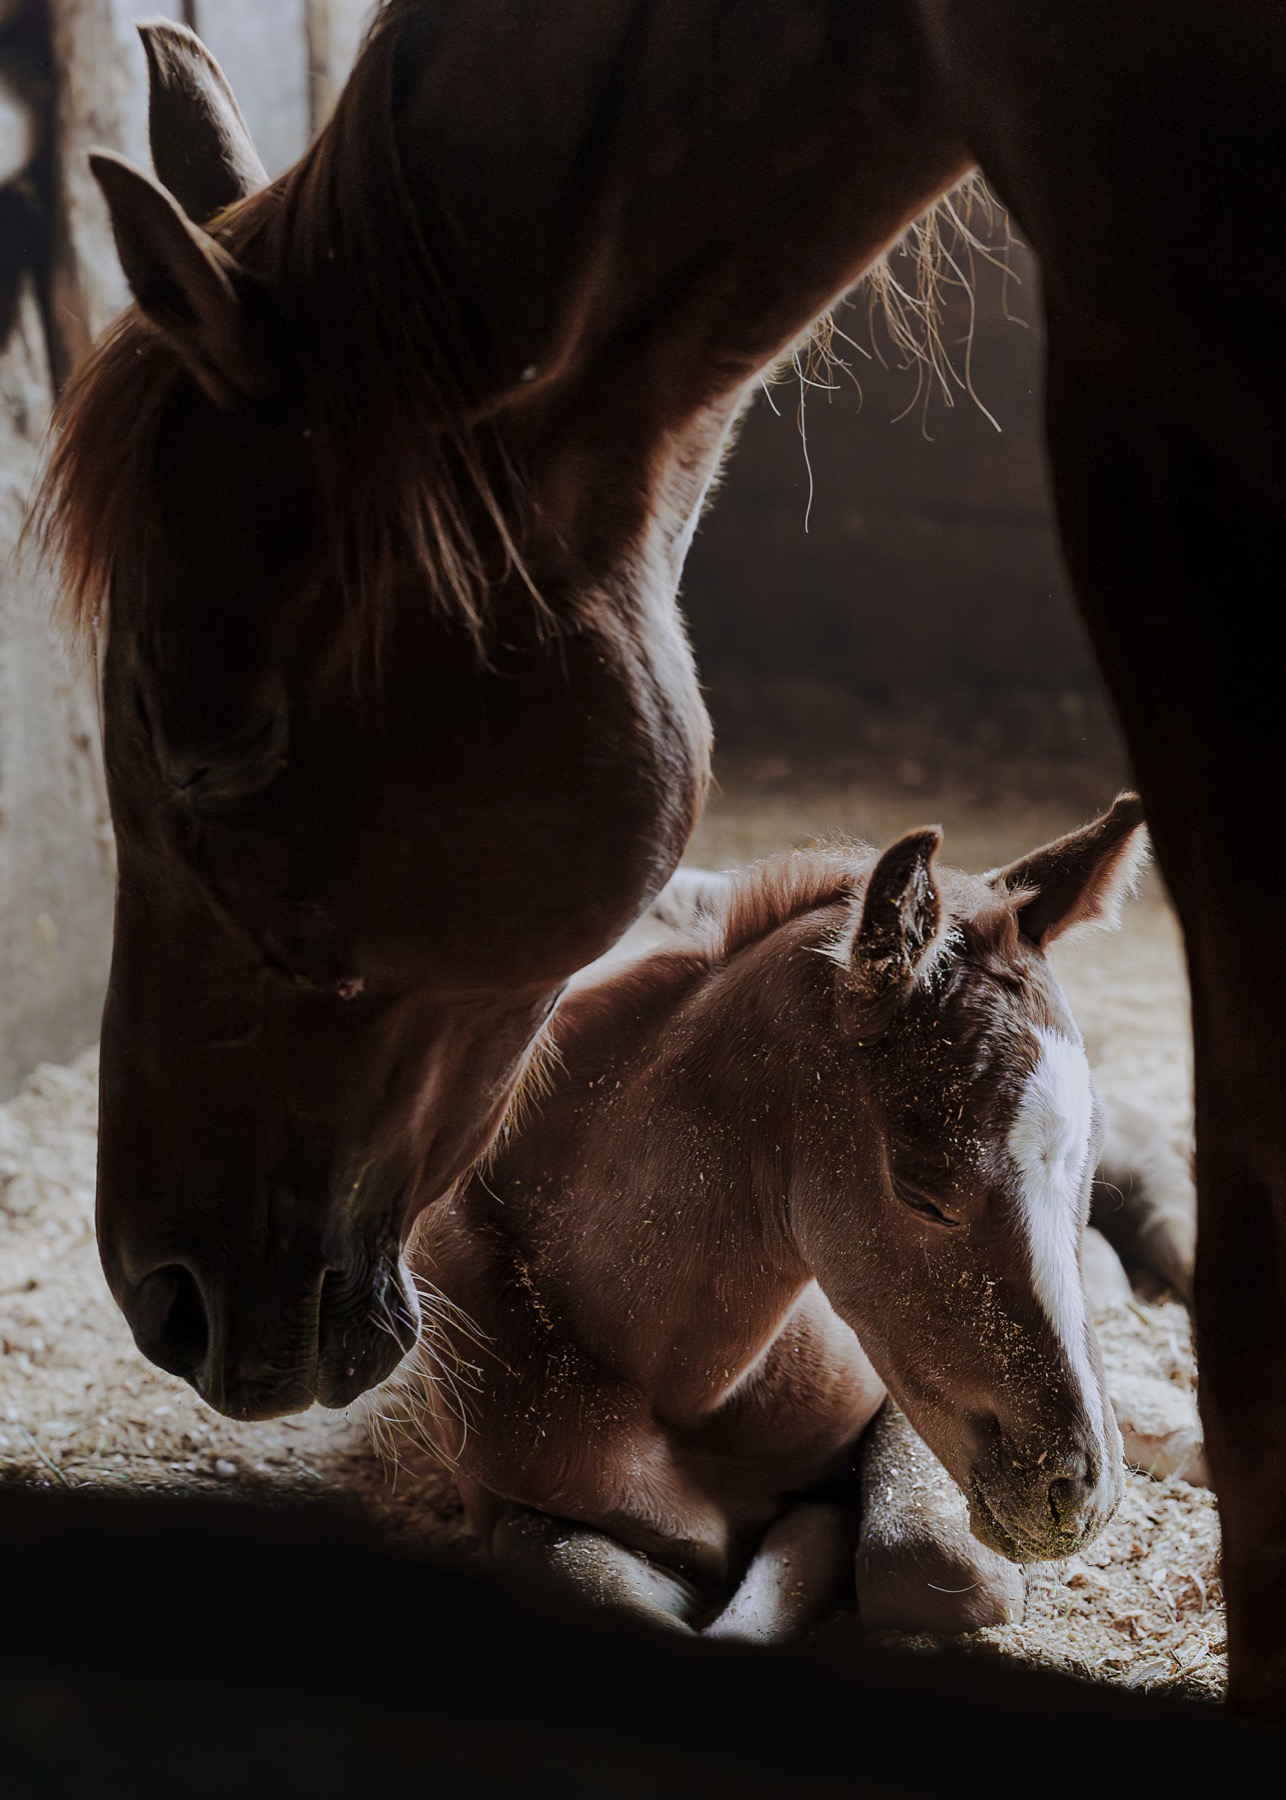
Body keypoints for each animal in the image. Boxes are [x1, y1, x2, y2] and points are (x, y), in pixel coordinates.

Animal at [396, 798, 1144, 1637]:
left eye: (1087, 1162)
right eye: (921, 1191)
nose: (1080, 1492)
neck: (681, 1383)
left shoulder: (891, 1393)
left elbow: (918, 1559)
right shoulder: (508, 1507)